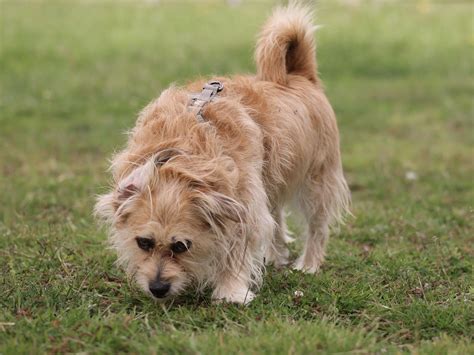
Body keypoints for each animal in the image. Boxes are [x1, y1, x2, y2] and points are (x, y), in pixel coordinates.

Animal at [94, 3, 350, 306]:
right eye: (143, 242)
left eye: (182, 246)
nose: (157, 289)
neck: (179, 159)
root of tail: (300, 75)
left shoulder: (243, 205)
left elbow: (236, 251)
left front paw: (231, 292)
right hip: (270, 183)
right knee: (275, 219)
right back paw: (275, 256)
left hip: (317, 180)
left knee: (317, 226)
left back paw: (309, 264)